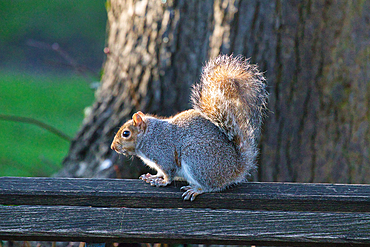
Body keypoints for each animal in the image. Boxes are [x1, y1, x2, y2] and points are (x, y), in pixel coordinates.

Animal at [110, 54, 268, 201]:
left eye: (126, 133)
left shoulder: (163, 154)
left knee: (212, 186)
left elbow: (168, 173)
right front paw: (152, 176)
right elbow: (160, 172)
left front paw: (162, 182)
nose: (113, 147)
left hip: (196, 158)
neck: (149, 136)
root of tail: (236, 167)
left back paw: (196, 189)